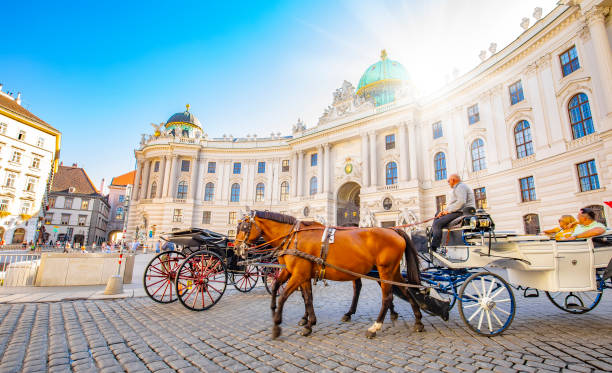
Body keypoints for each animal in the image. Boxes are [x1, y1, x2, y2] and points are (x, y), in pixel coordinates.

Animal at [235, 209, 426, 338]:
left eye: (243, 227)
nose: (236, 248)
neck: (294, 237)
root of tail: (393, 230)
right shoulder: (296, 273)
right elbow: (297, 294)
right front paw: (307, 322)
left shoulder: (299, 274)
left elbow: (285, 297)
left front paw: (277, 325)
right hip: (390, 271)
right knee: (406, 289)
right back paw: (417, 321)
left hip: (384, 270)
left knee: (387, 296)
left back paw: (375, 326)